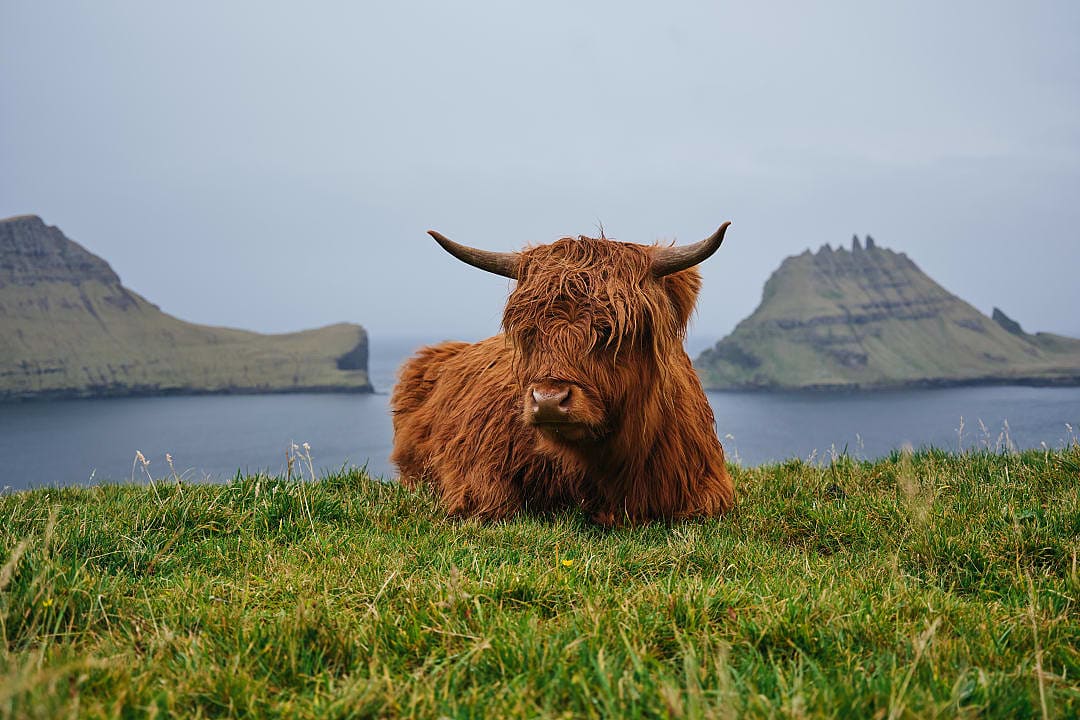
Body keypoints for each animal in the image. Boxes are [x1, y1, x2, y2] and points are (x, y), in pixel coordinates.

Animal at [390, 224, 735, 526]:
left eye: (610, 331)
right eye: (529, 331)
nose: (548, 400)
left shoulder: (706, 489)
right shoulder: (475, 470)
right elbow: (494, 502)